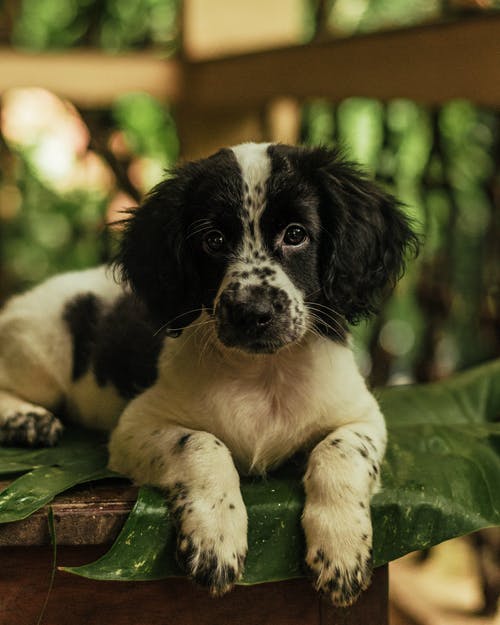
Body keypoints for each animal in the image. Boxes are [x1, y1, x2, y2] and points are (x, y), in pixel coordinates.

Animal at [0, 143, 418, 604]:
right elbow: (202, 443)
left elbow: (340, 450)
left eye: (295, 234)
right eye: (213, 240)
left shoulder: (363, 416)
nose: (253, 313)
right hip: (40, 352)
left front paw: (341, 550)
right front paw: (217, 537)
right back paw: (26, 419)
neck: (264, 373)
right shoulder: (133, 426)